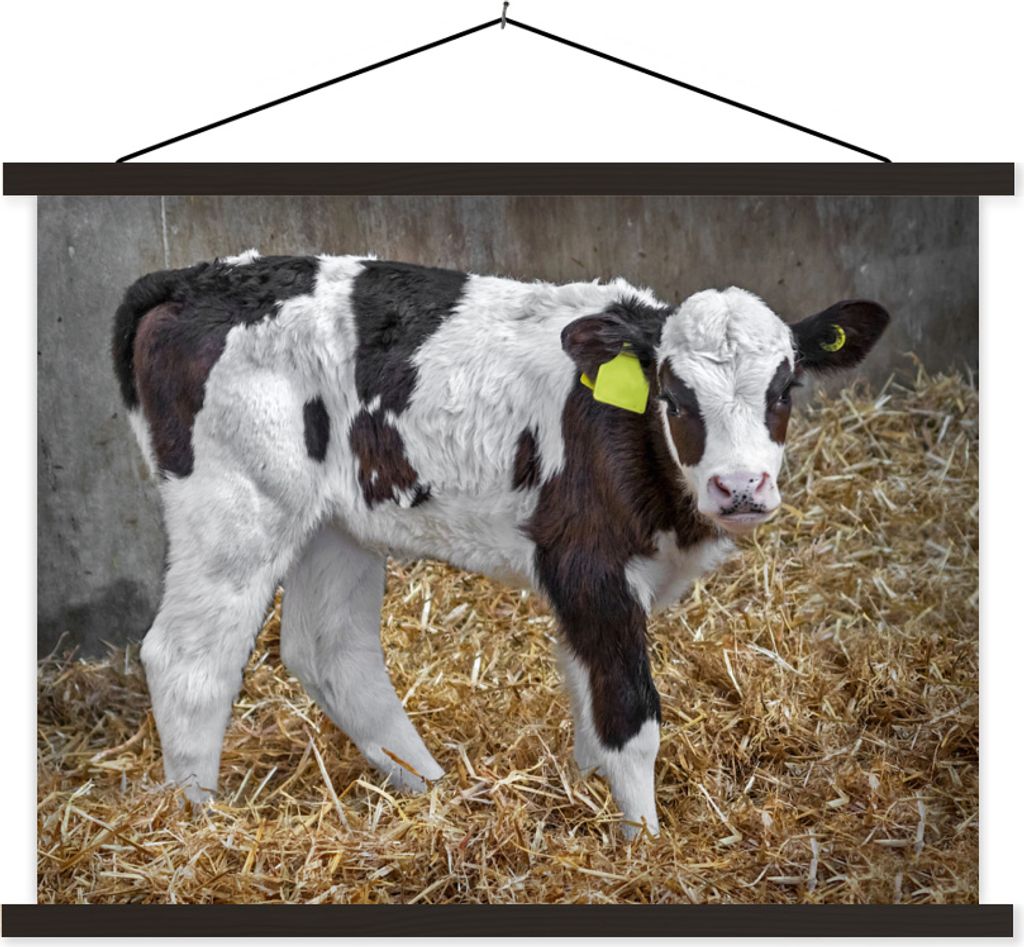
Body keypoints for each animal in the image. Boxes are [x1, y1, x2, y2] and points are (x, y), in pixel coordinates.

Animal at [112, 251, 889, 838]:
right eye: (674, 394)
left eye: (785, 388)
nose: (741, 486)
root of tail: (194, 279)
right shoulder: (586, 563)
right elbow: (628, 713)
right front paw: (643, 843)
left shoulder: (584, 587)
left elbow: (587, 700)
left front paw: (588, 802)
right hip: (235, 505)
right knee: (189, 659)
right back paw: (197, 825)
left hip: (334, 522)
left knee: (331, 651)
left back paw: (435, 793)